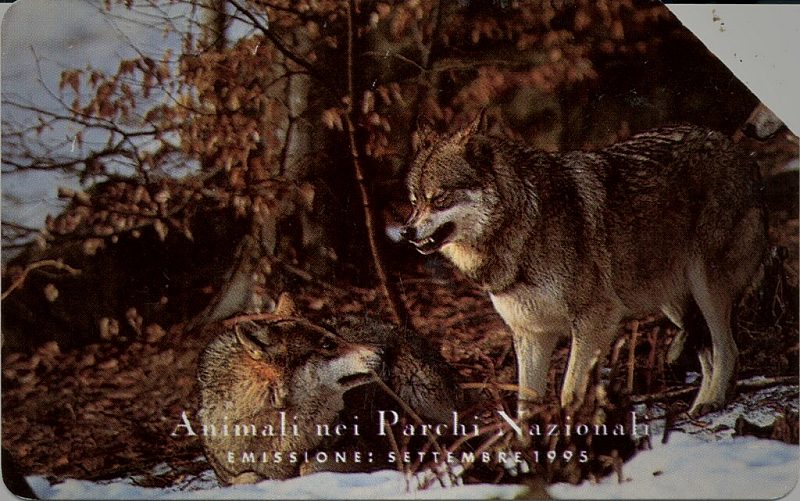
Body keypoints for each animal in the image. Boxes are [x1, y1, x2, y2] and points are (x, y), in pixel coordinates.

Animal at [402, 114, 767, 418]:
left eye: (439, 198)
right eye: (414, 201)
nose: (406, 231)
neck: (524, 224)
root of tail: (735, 147)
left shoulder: (595, 320)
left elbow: (569, 393)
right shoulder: (531, 334)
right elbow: (525, 405)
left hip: (706, 287)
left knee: (727, 348)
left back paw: (713, 399)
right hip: (673, 302)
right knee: (708, 354)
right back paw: (702, 404)